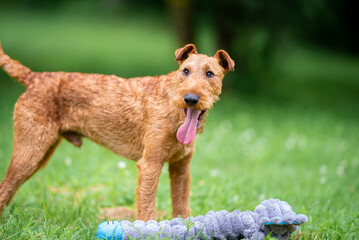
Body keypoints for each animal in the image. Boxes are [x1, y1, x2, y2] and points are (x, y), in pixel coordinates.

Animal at [0, 43, 235, 221]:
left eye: (210, 74)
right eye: (185, 71)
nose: (190, 98)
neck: (173, 105)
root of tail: (35, 77)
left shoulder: (181, 167)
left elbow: (182, 205)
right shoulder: (150, 164)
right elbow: (147, 205)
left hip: (39, 154)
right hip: (29, 153)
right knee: (5, 188)